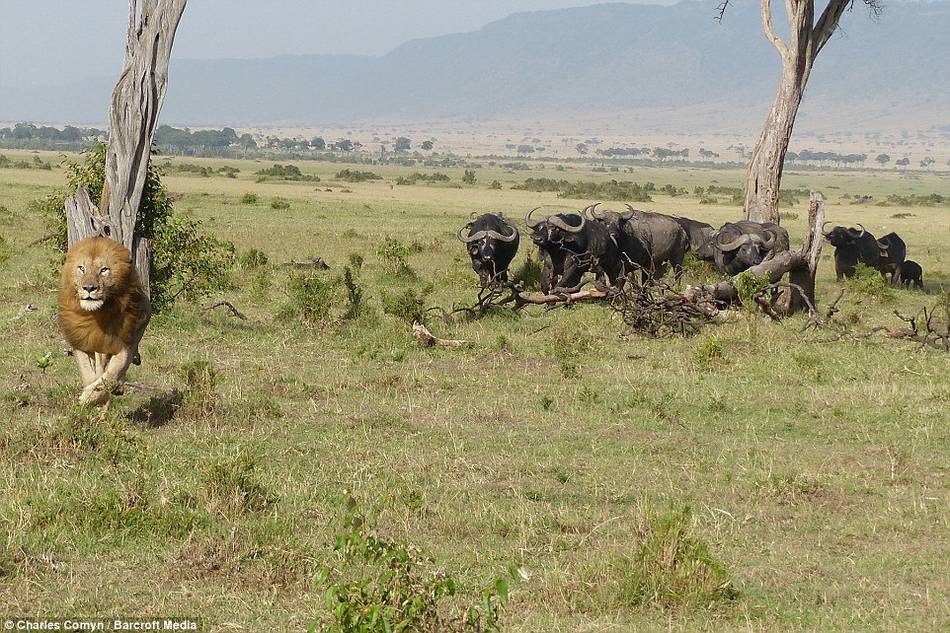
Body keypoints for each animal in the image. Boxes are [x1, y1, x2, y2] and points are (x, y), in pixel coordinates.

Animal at [58, 237, 151, 404]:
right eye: (81, 268)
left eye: (103, 270)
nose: (89, 288)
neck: (97, 314)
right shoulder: (80, 342)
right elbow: (88, 374)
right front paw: (89, 396)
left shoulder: (125, 344)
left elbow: (111, 376)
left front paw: (92, 395)